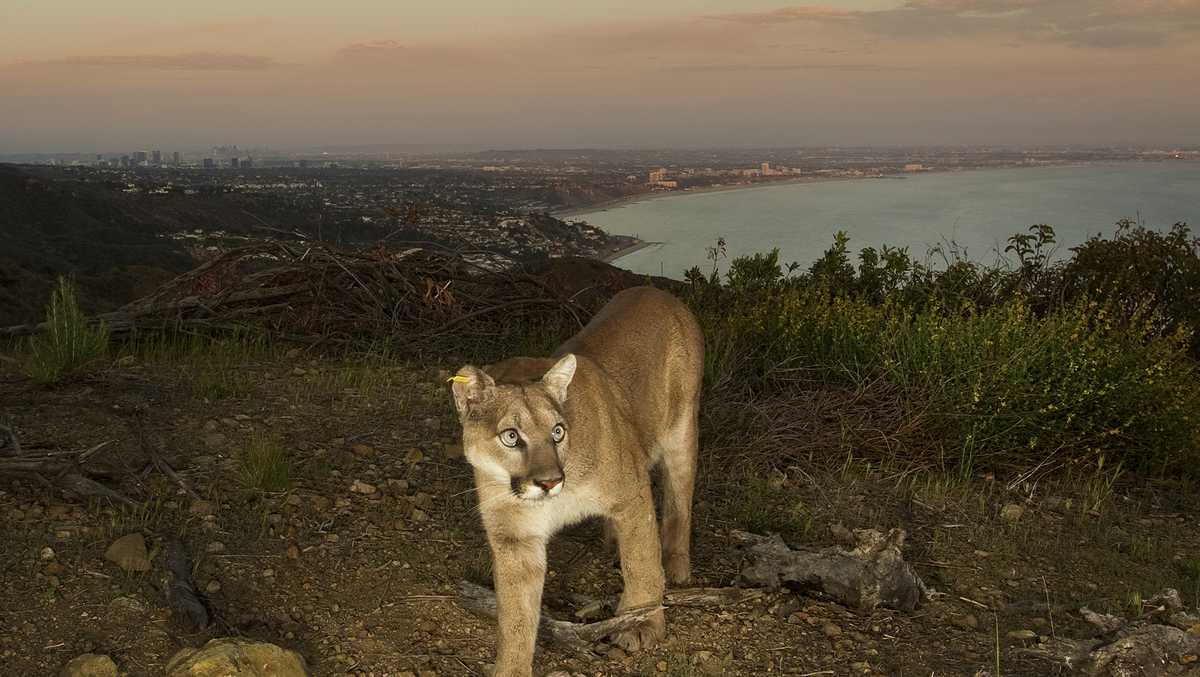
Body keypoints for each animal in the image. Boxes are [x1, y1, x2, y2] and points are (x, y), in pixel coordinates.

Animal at [453, 286, 705, 677]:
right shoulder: (514, 537)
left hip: (681, 432)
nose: (549, 482)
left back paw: (676, 565)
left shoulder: (631, 494)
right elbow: (515, 616)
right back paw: (612, 540)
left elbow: (643, 563)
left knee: (679, 502)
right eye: (511, 437)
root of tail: (655, 289)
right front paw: (512, 668)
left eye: (558, 431)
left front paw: (642, 623)